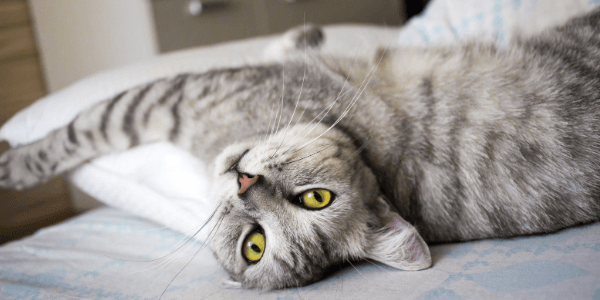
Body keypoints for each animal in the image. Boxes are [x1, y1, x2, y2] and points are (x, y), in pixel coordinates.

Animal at [1, 9, 600, 290]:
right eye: (317, 197)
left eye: (255, 246)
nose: (244, 183)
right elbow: (78, 128)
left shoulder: (173, 98)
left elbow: (83, 127)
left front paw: (11, 164)